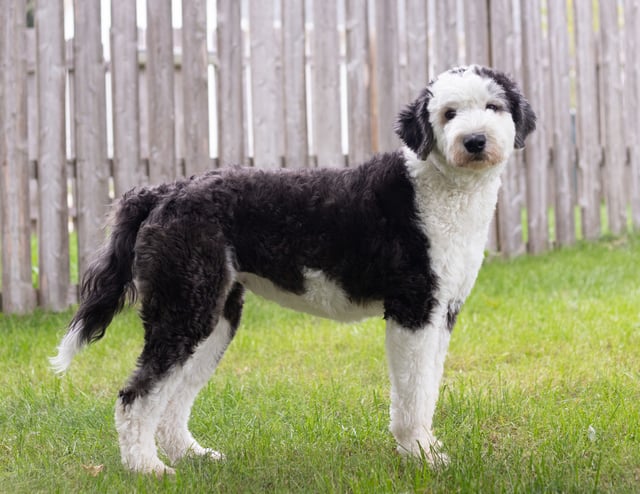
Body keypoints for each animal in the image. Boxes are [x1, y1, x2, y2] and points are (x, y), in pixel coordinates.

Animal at [51, 65, 536, 474]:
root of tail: (164, 192)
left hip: (215, 317)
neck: (439, 188)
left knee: (172, 398)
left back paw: (193, 456)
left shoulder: (442, 312)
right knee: (136, 395)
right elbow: (412, 396)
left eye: (493, 106)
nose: (474, 141)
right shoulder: (412, 309)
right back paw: (147, 468)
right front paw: (422, 456)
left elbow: (427, 387)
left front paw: (426, 451)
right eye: (449, 113)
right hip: (184, 308)